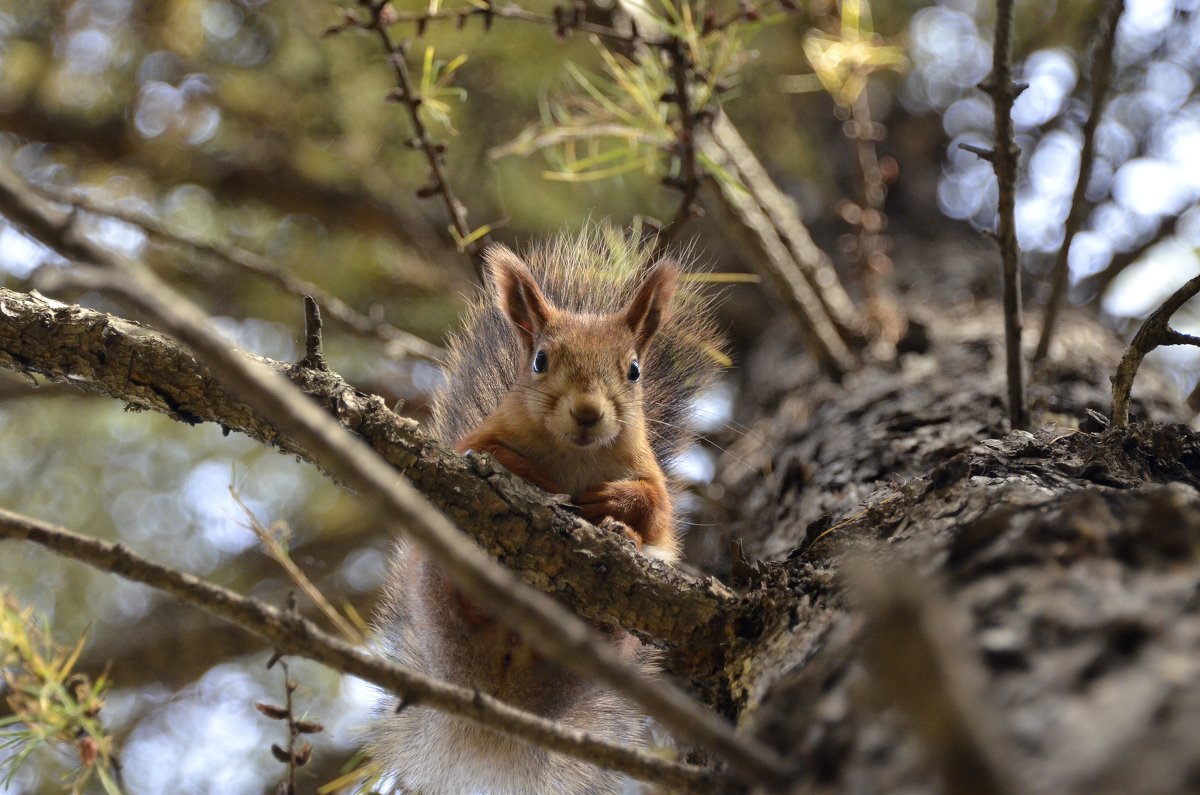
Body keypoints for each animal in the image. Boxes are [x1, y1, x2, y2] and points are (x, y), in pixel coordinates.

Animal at [364, 230, 720, 795]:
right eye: (540, 360)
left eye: (634, 370)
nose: (588, 412)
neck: (573, 453)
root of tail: (499, 691)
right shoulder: (479, 440)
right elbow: (487, 455)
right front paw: (541, 482)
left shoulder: (649, 476)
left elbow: (657, 512)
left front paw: (612, 507)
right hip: (437, 578)